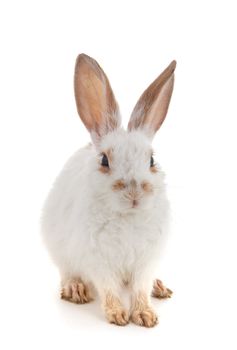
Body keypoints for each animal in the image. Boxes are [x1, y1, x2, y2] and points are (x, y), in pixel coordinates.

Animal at [40, 53, 176, 326]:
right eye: (104, 160)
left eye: (151, 160)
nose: (134, 194)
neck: (129, 217)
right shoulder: (99, 261)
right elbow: (109, 288)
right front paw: (117, 314)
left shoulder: (146, 262)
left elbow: (140, 288)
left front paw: (145, 314)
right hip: (60, 251)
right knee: (67, 273)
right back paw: (75, 289)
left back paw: (159, 287)